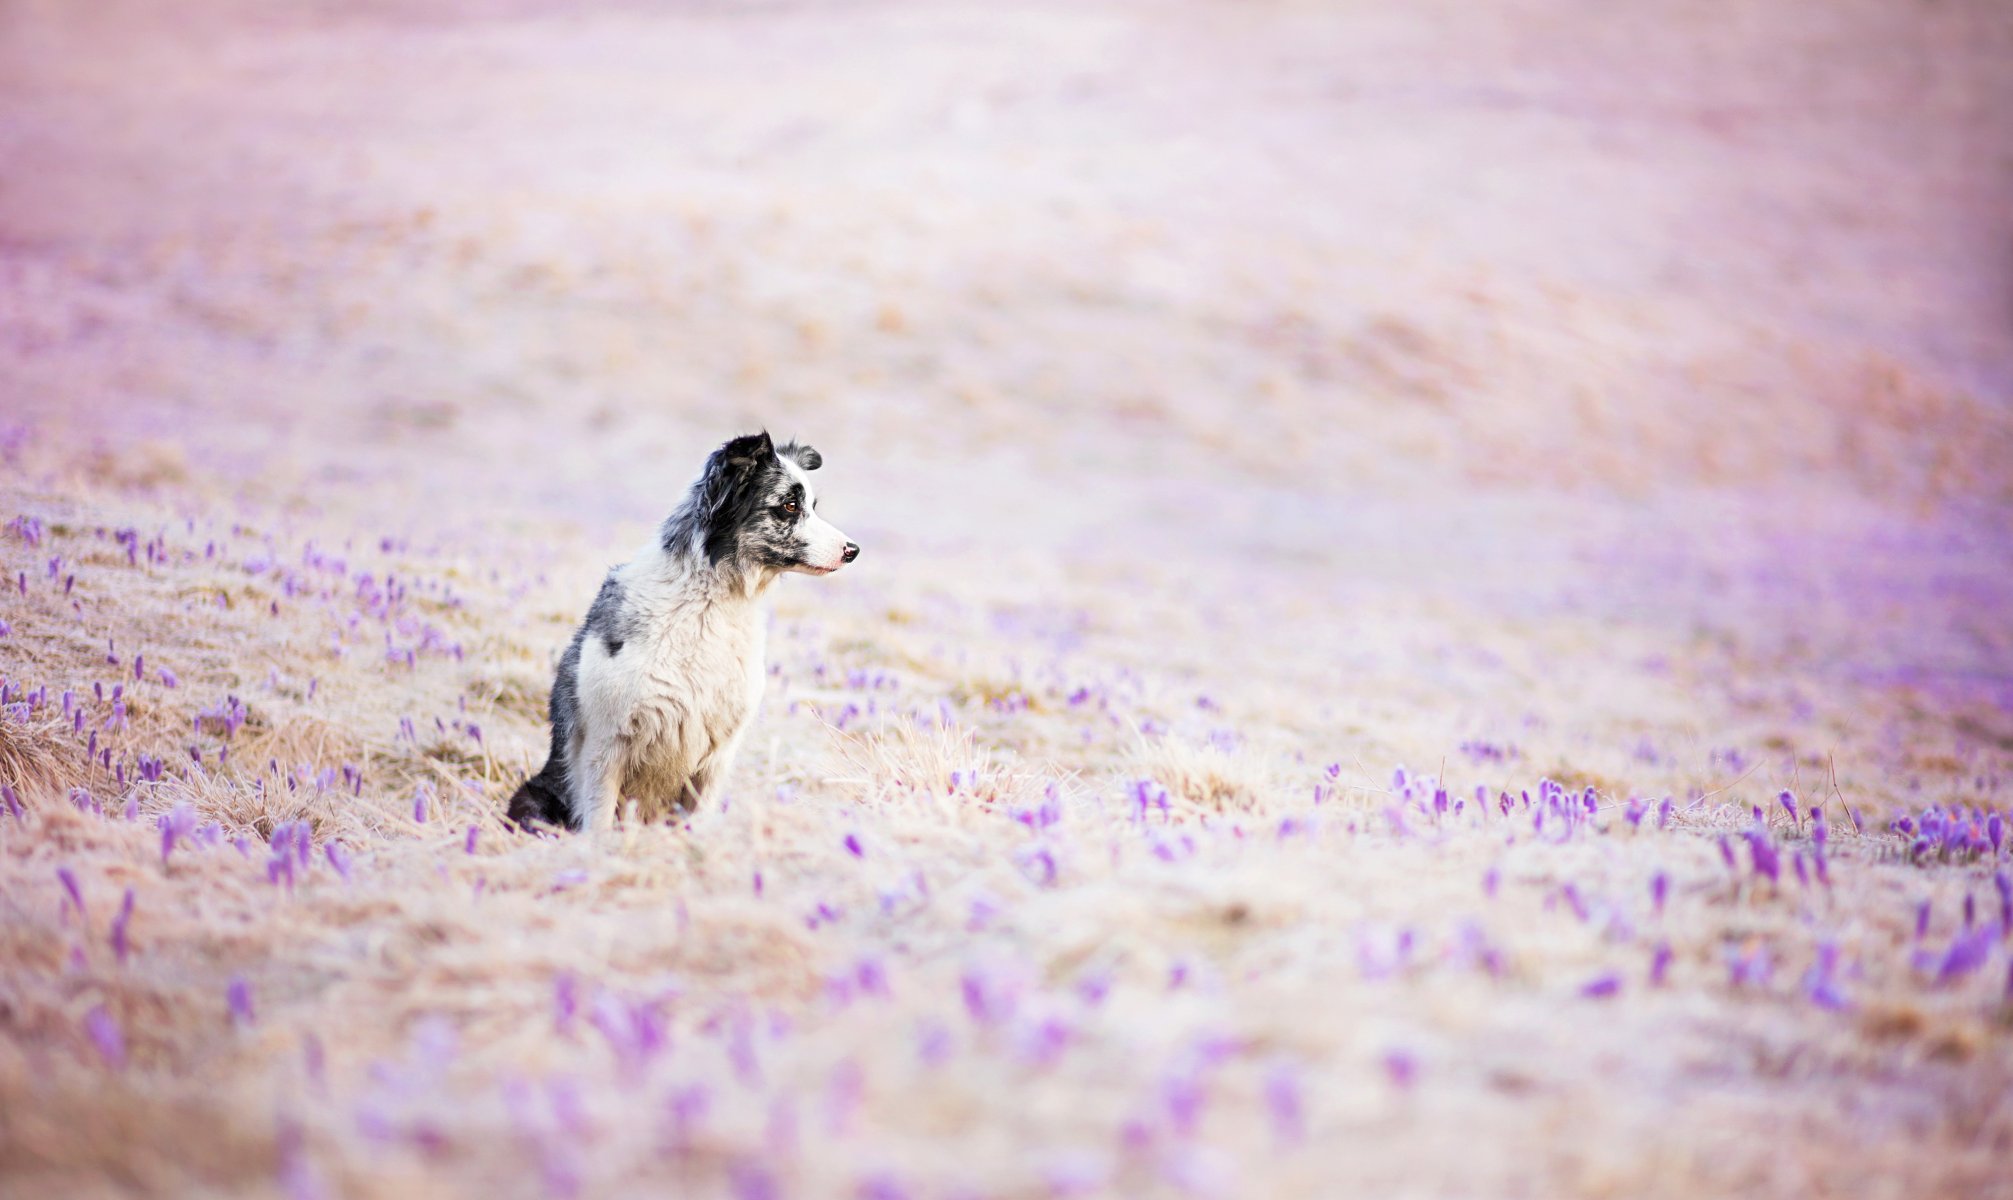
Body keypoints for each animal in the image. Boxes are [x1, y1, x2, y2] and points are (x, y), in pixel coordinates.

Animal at [511, 430, 857, 833]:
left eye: (812, 506)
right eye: (789, 505)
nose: (853, 550)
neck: (708, 603)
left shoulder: (716, 755)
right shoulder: (604, 745)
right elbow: (598, 822)